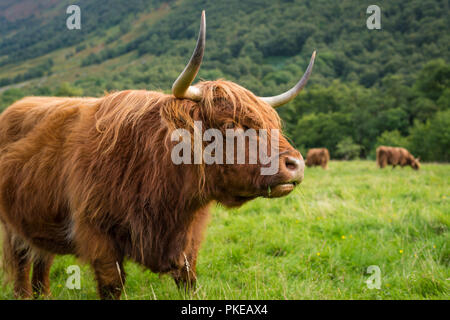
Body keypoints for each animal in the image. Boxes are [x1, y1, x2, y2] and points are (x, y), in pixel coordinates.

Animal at [0, 11, 316, 298]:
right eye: (229, 125)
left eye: (273, 124)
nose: (296, 164)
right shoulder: (97, 234)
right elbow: (113, 286)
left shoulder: (189, 239)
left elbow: (189, 280)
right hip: (12, 228)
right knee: (22, 267)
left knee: (42, 262)